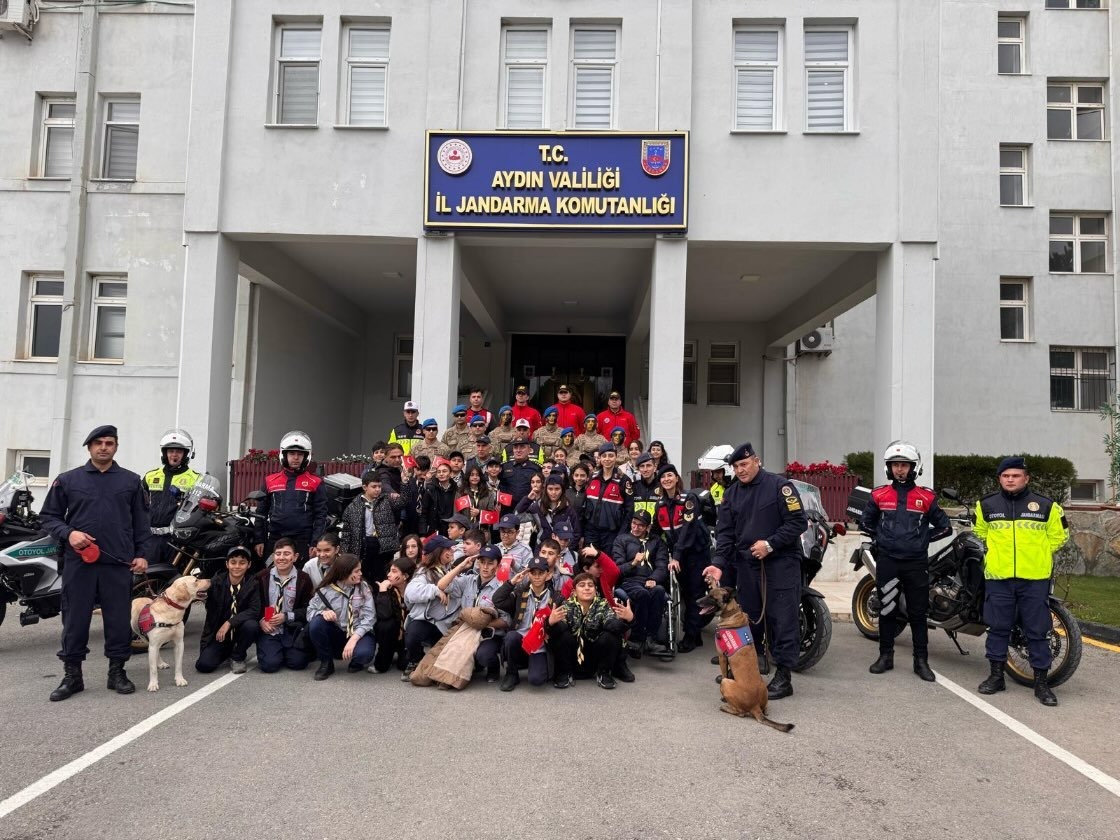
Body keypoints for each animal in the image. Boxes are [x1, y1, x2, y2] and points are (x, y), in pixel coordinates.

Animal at [698, 586, 797, 734]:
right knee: (764, 710)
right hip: (763, 691)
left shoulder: (722, 658)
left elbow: (724, 673)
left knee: (741, 713)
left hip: (726, 684)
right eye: (708, 594)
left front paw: (723, 699)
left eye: (712, 597)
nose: (697, 601)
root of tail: (755, 705)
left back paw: (726, 707)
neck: (732, 612)